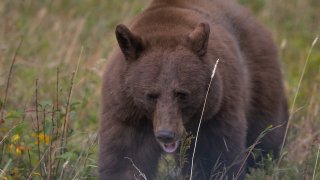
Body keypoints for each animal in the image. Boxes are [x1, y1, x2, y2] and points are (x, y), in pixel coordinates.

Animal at [99, 0, 288, 179]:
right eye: (151, 95)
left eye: (181, 94)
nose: (166, 134)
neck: (165, 27)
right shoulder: (126, 111)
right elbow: (125, 159)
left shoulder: (216, 112)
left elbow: (217, 156)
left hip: (259, 78)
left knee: (265, 133)